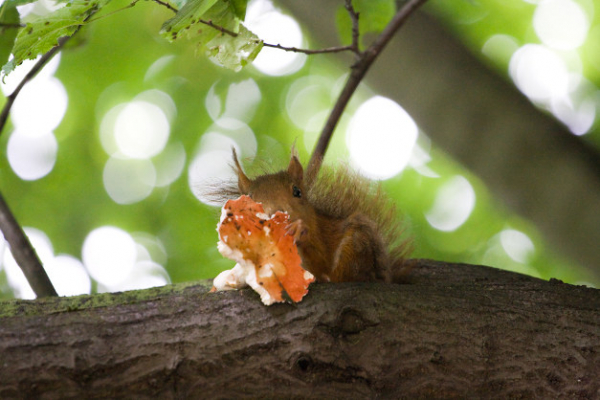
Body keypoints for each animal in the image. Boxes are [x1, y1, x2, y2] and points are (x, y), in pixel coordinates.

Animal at [216, 148, 412, 282]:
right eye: (247, 200)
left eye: (297, 191)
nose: (274, 214)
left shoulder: (321, 233)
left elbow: (320, 258)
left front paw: (300, 230)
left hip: (357, 243)